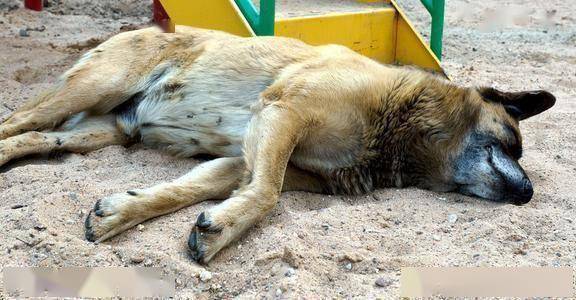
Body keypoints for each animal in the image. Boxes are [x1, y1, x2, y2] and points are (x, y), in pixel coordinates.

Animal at [0, 25, 552, 262]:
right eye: (513, 144)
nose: (528, 194)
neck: (396, 126)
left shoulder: (238, 159)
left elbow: (192, 189)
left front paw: (121, 212)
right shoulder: (283, 112)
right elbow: (266, 195)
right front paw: (221, 232)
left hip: (100, 131)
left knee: (37, 137)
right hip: (96, 85)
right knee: (15, 120)